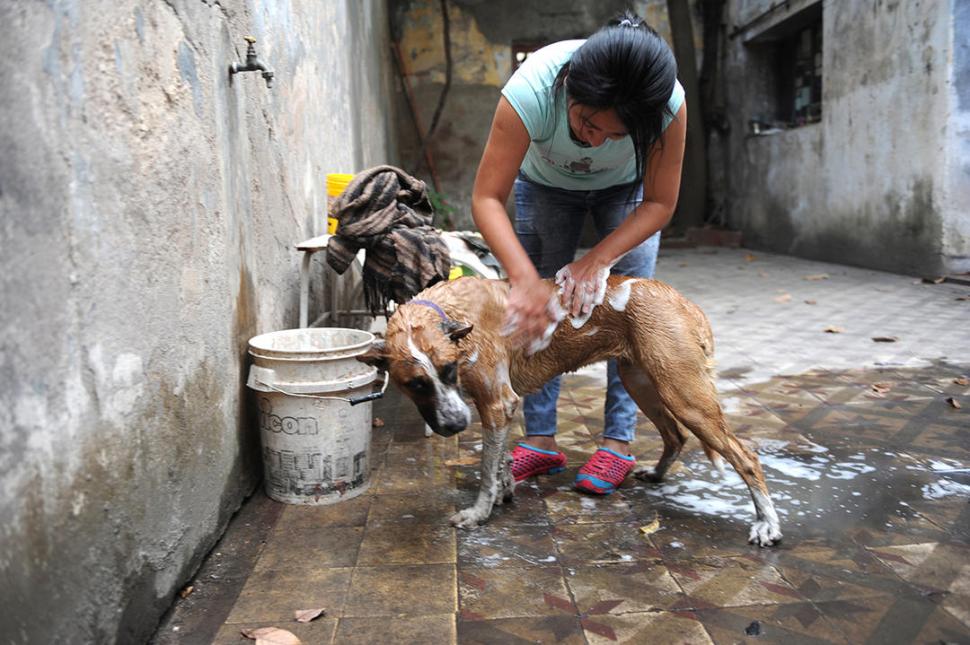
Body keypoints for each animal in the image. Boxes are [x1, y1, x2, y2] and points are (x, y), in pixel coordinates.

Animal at [360, 274, 784, 544]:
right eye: (415, 384)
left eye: (449, 370)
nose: (454, 425)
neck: (446, 311)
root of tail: (685, 302)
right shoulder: (500, 407)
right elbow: (499, 461)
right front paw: (505, 489)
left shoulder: (496, 402)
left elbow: (486, 470)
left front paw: (479, 513)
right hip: (644, 384)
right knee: (675, 435)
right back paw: (657, 474)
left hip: (684, 395)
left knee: (746, 457)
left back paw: (767, 524)